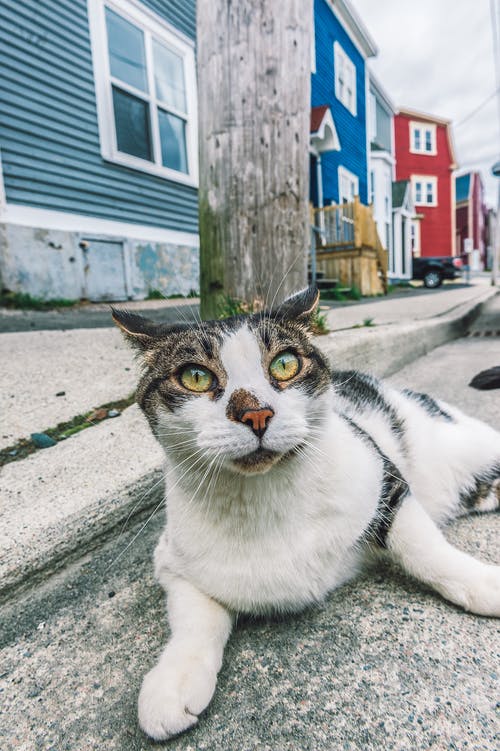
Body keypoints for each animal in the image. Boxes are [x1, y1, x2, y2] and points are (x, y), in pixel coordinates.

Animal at [113, 286, 500, 740]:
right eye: (195, 376)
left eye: (285, 364)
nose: (256, 412)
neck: (266, 499)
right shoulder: (171, 561)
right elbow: (195, 621)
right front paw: (174, 682)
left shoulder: (385, 480)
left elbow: (426, 551)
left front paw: (482, 583)